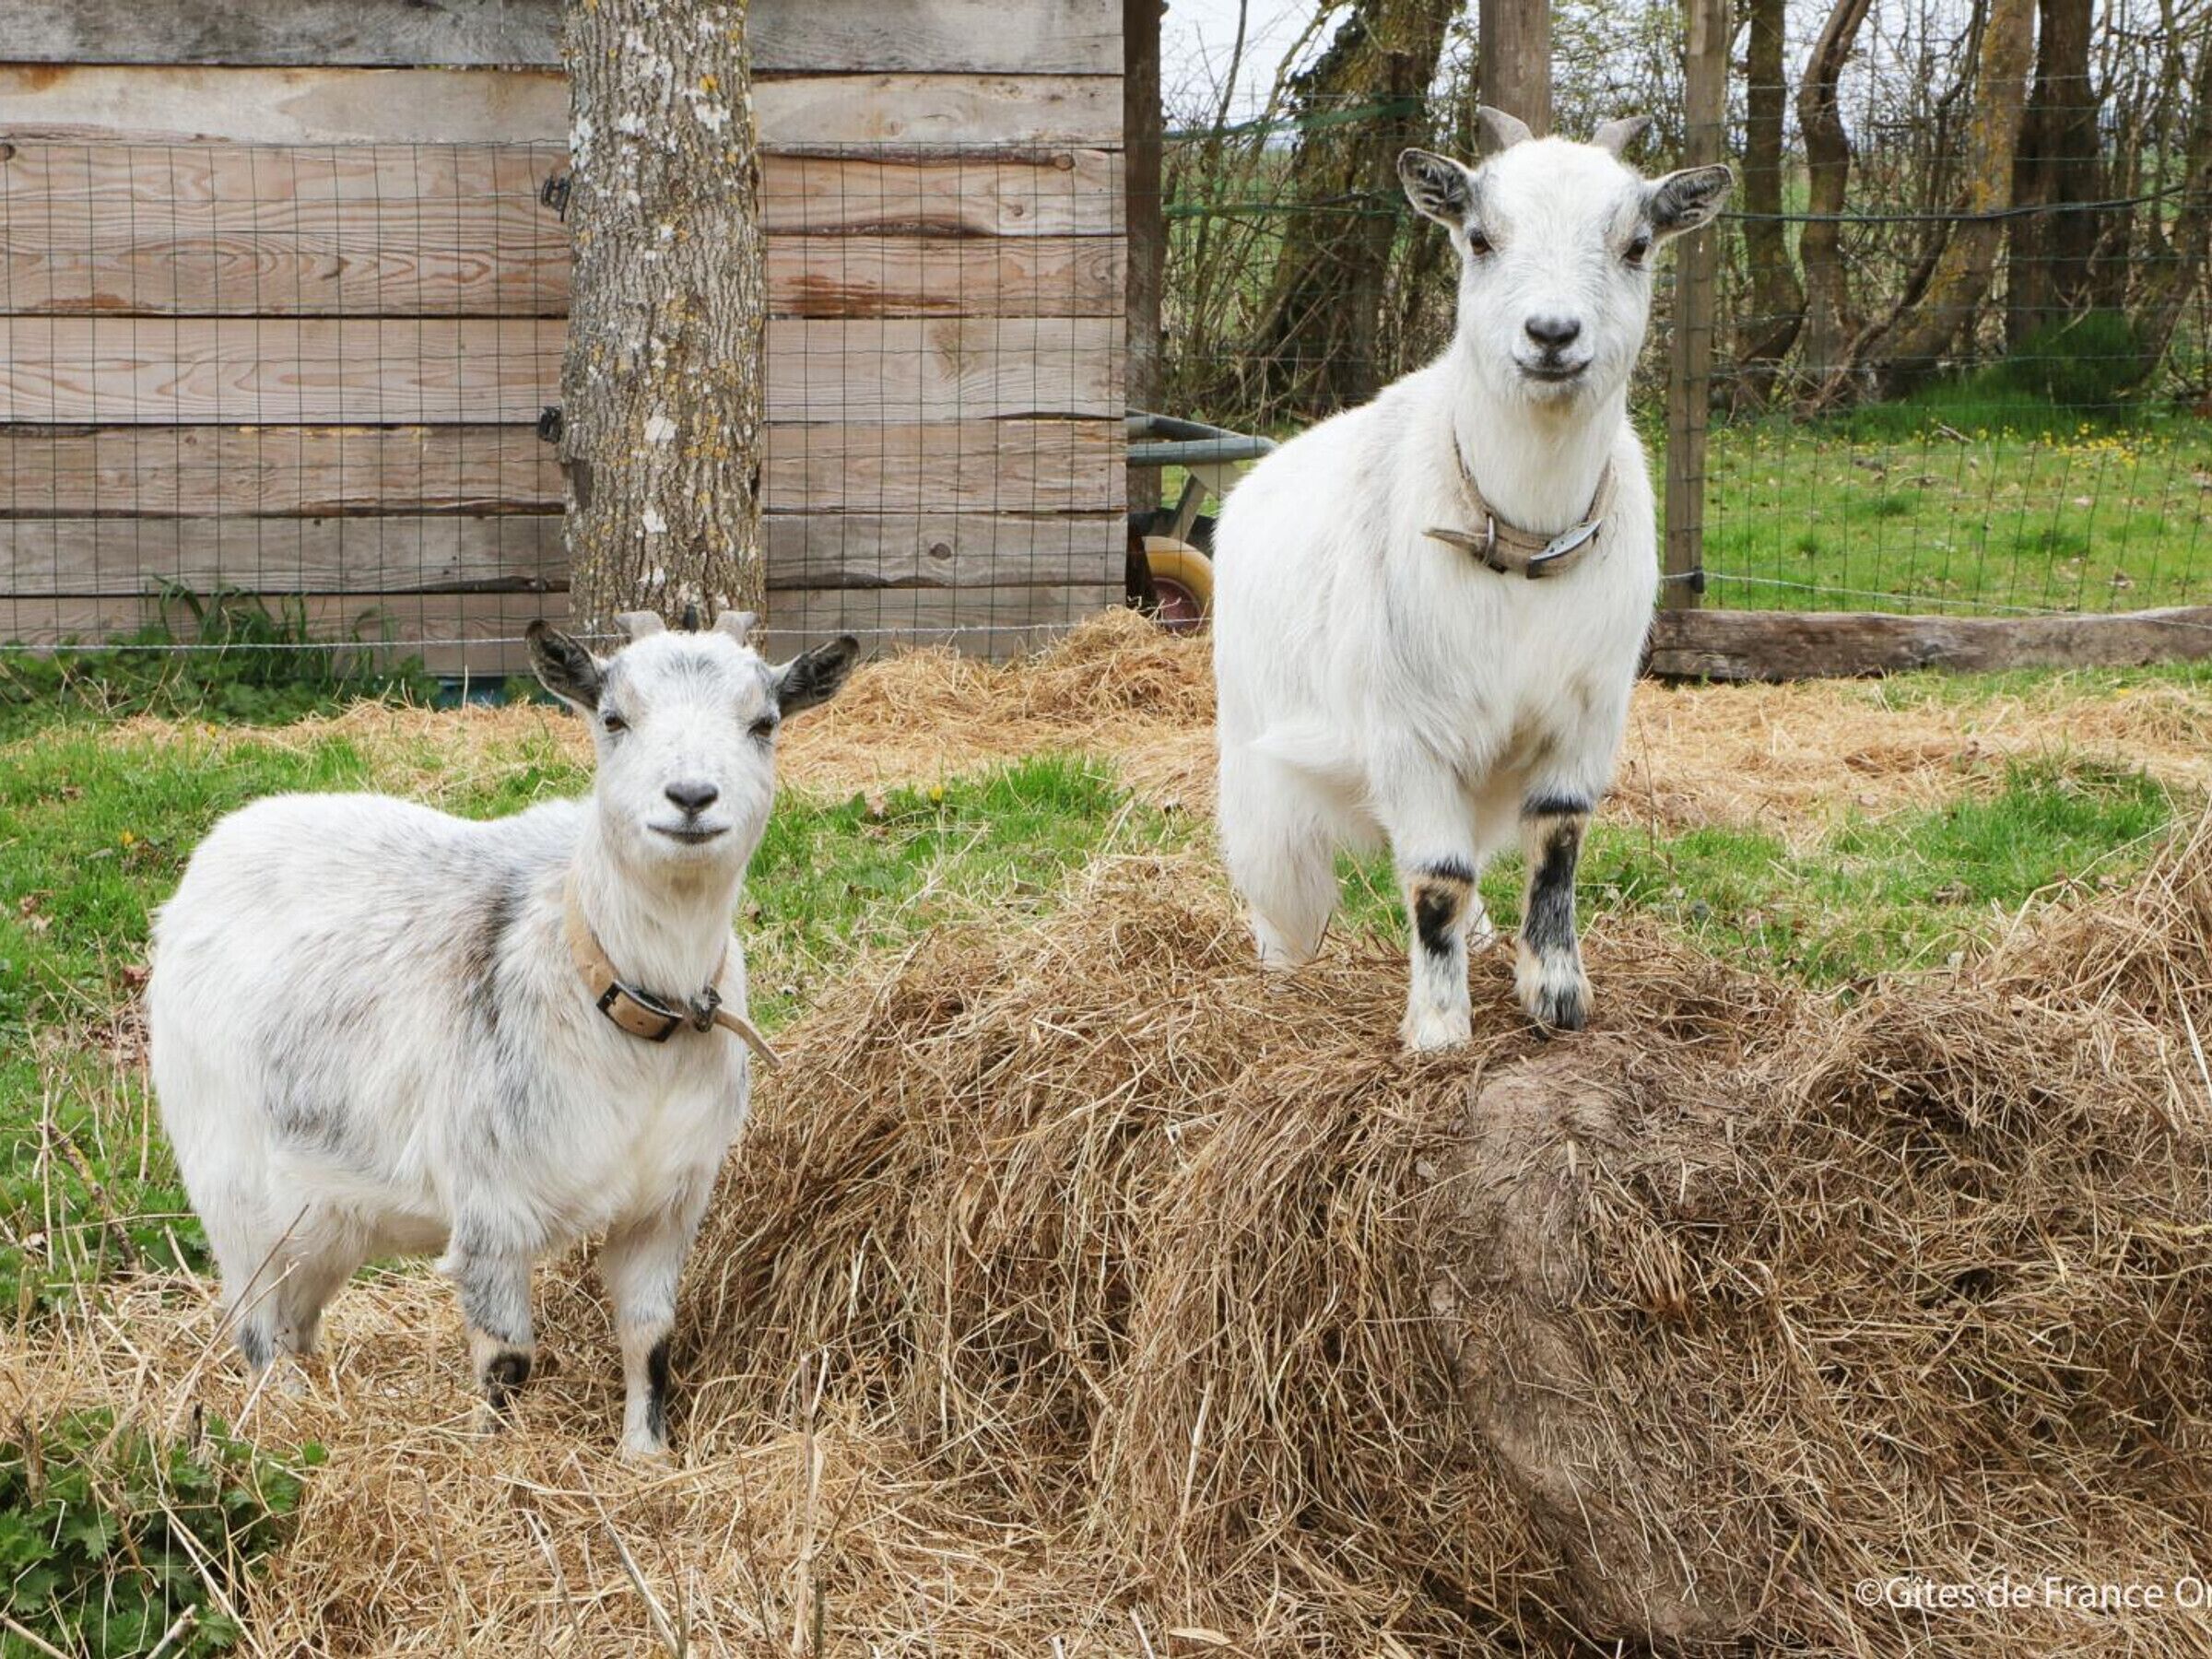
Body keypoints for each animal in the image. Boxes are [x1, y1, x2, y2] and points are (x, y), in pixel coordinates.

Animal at [147, 611, 857, 1455]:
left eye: (764, 723)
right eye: (612, 718)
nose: (691, 797)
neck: (620, 1004)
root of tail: (215, 851)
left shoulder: (665, 1207)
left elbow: (651, 1338)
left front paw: (645, 1456)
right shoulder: (489, 1208)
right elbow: (507, 1362)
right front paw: (495, 1459)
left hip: (325, 1208)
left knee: (297, 1315)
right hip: (229, 1181)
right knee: (253, 1323)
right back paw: (282, 1419)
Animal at [1211, 110, 1732, 1050]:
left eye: (1637, 244)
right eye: (1480, 238)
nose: (1553, 334)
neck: (1523, 548)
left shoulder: (1585, 722)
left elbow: (1557, 851)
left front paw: (1556, 994)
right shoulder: (1408, 737)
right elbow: (1436, 878)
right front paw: (1439, 1029)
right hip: (1259, 780)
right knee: (1283, 897)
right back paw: (1280, 980)